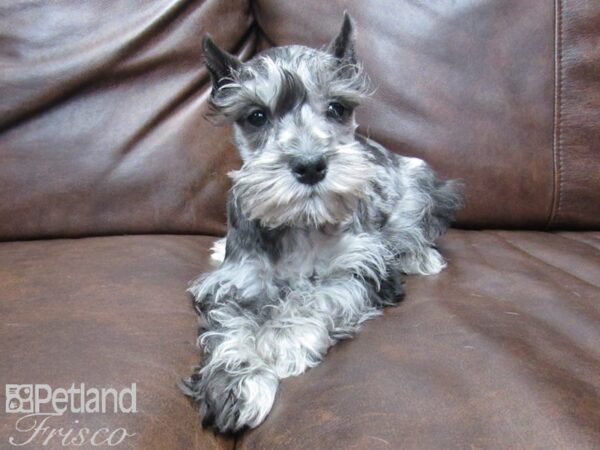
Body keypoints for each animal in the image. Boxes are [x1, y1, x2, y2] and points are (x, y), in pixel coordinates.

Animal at [180, 13, 462, 436]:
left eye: (338, 108)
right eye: (256, 116)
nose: (310, 165)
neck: (301, 223)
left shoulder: (362, 268)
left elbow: (318, 295)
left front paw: (280, 338)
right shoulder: (231, 284)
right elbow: (228, 330)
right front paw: (237, 383)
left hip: (417, 181)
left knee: (418, 225)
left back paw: (419, 255)